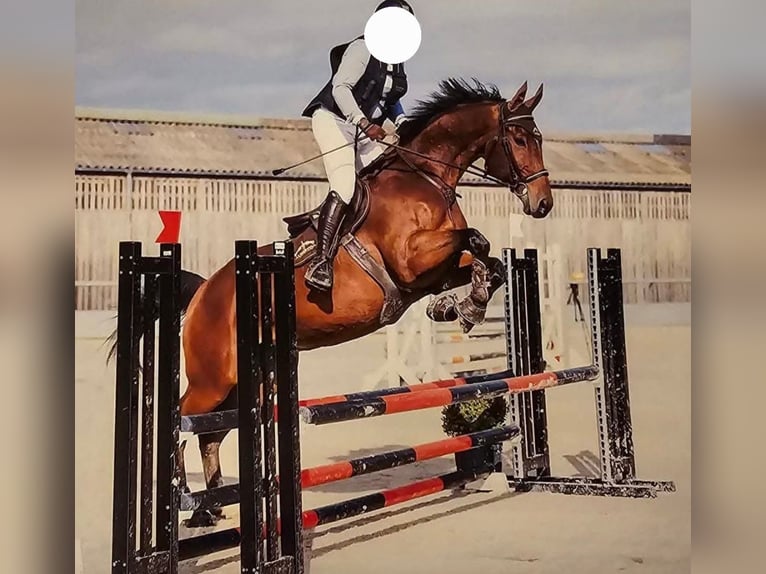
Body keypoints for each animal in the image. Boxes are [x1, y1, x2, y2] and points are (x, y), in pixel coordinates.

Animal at [110, 78, 552, 526]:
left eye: (538, 137)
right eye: (519, 138)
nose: (542, 203)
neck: (426, 180)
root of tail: (203, 291)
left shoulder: (433, 272)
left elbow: (489, 263)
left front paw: (461, 306)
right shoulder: (410, 261)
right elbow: (477, 239)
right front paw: (463, 305)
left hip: (241, 382)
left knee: (210, 433)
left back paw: (212, 506)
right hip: (212, 379)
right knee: (184, 420)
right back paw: (187, 505)